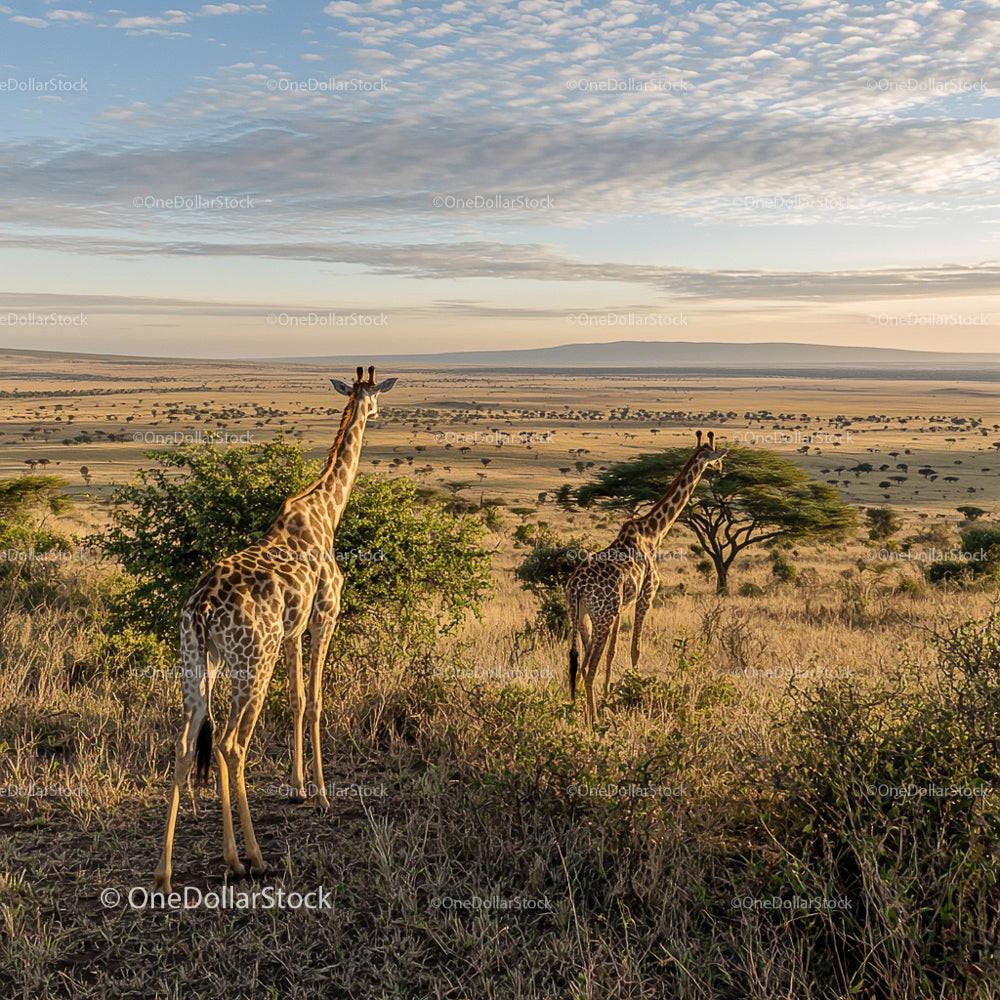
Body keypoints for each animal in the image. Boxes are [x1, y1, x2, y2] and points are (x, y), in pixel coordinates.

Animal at [153, 365, 397, 893]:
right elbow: (318, 701)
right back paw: (247, 858)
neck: (325, 512)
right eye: (373, 397)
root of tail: (202, 607)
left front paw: (298, 788)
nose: (376, 413)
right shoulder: (325, 616)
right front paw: (322, 794)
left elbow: (299, 700)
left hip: (197, 661)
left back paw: (164, 872)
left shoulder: (291, 631)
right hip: (251, 663)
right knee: (230, 744)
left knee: (185, 743)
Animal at [566, 431, 727, 726]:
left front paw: (609, 697)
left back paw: (580, 713)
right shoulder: (646, 595)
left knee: (579, 664)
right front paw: (635, 690)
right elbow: (635, 649)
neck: (653, 533)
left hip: (583, 617)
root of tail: (575, 588)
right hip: (602, 615)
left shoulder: (621, 607)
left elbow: (612, 653)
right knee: (589, 666)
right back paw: (594, 722)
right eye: (715, 458)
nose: (721, 471)